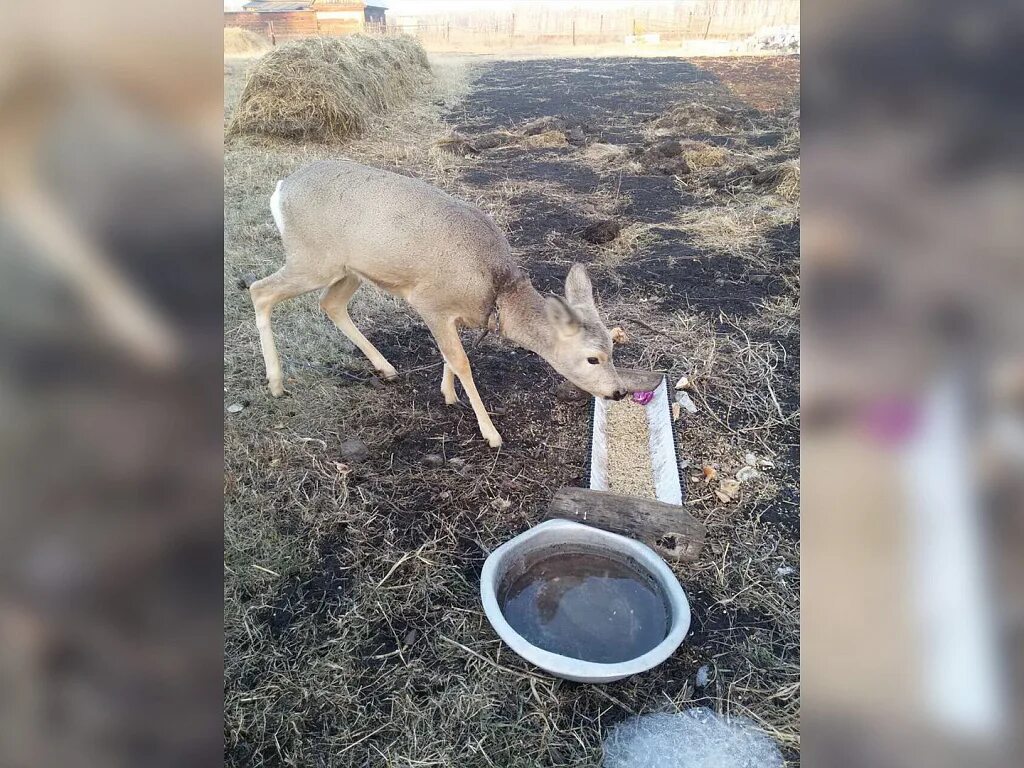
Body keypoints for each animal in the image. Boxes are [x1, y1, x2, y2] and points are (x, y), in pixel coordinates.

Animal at [251, 160, 638, 450]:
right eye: (593, 358)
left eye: (613, 347)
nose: (619, 391)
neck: (494, 292)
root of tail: (281, 189)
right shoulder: (430, 301)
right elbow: (461, 359)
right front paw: (490, 432)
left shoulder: (456, 314)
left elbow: (451, 354)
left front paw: (448, 392)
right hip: (312, 258)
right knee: (259, 290)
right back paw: (276, 382)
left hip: (349, 269)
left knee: (330, 304)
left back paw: (386, 368)